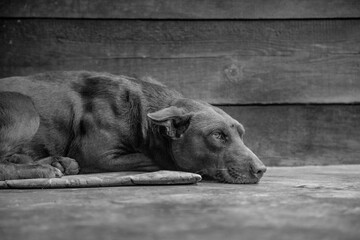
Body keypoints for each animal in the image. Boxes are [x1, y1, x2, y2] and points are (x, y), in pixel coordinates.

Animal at [0, 71, 264, 184]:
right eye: (217, 135)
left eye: (242, 135)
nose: (261, 170)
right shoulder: (97, 156)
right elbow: (155, 159)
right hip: (24, 107)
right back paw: (43, 168)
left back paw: (53, 162)